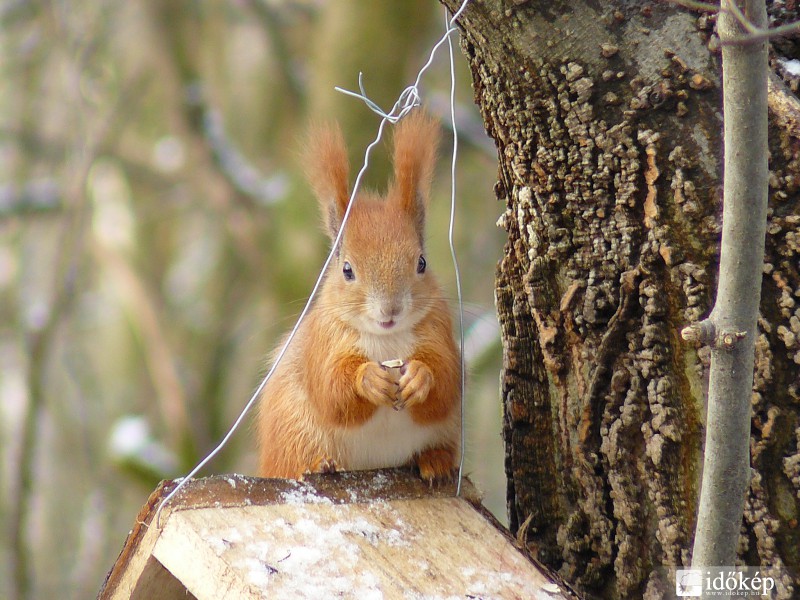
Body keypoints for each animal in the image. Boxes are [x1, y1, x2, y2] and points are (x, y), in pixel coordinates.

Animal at [256, 112, 462, 486]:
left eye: (421, 263)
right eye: (347, 269)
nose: (390, 310)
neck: (386, 339)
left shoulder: (439, 328)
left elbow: (446, 381)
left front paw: (420, 375)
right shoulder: (324, 339)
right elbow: (331, 390)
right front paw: (368, 379)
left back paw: (435, 460)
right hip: (292, 433)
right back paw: (318, 464)